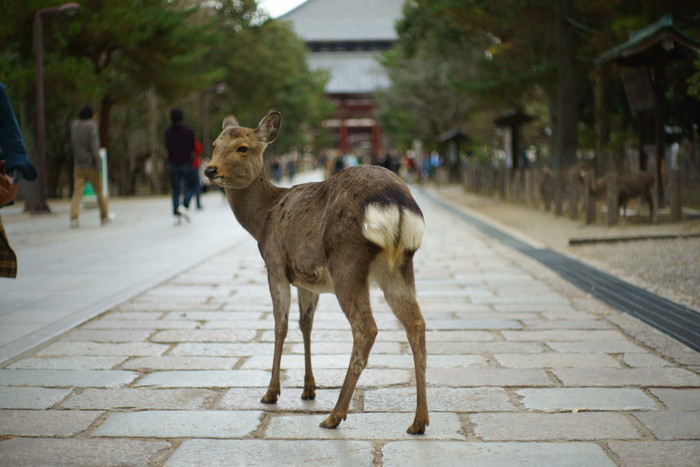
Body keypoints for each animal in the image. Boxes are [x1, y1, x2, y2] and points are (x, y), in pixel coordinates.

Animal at [205, 109, 430, 436]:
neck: (263, 220)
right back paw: (418, 421)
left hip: (347, 261)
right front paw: (309, 389)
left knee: (366, 327)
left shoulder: (275, 265)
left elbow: (281, 325)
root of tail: (397, 203)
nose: (210, 170)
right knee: (416, 323)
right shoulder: (307, 281)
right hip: (400, 265)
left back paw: (335, 415)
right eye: (214, 144)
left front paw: (271, 392)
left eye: (242, 148)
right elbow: (305, 324)